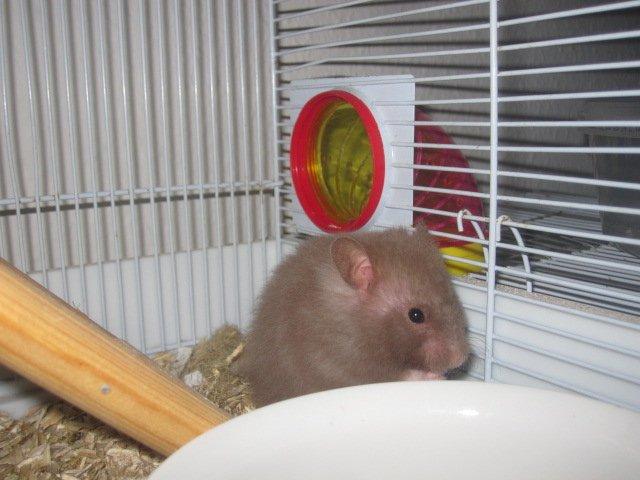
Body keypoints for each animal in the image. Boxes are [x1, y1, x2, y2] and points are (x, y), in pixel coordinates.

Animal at [235, 224, 470, 407]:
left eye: (455, 297)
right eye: (416, 315)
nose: (459, 359)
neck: (358, 323)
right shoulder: (343, 363)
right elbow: (397, 374)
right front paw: (436, 376)